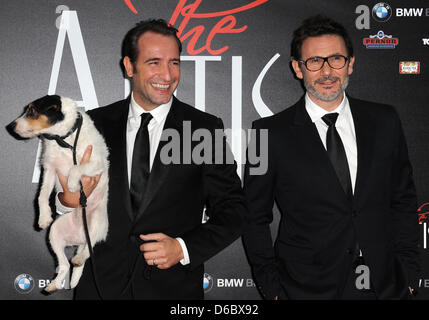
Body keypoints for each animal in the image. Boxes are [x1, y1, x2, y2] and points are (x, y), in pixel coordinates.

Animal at [7, 95, 108, 292]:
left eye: (32, 110)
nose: (11, 127)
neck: (64, 140)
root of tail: (79, 237)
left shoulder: (96, 163)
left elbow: (76, 168)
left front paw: (72, 184)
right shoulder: (49, 169)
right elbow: (42, 195)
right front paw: (43, 217)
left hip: (96, 223)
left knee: (88, 251)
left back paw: (79, 258)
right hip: (55, 233)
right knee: (66, 264)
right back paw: (54, 284)